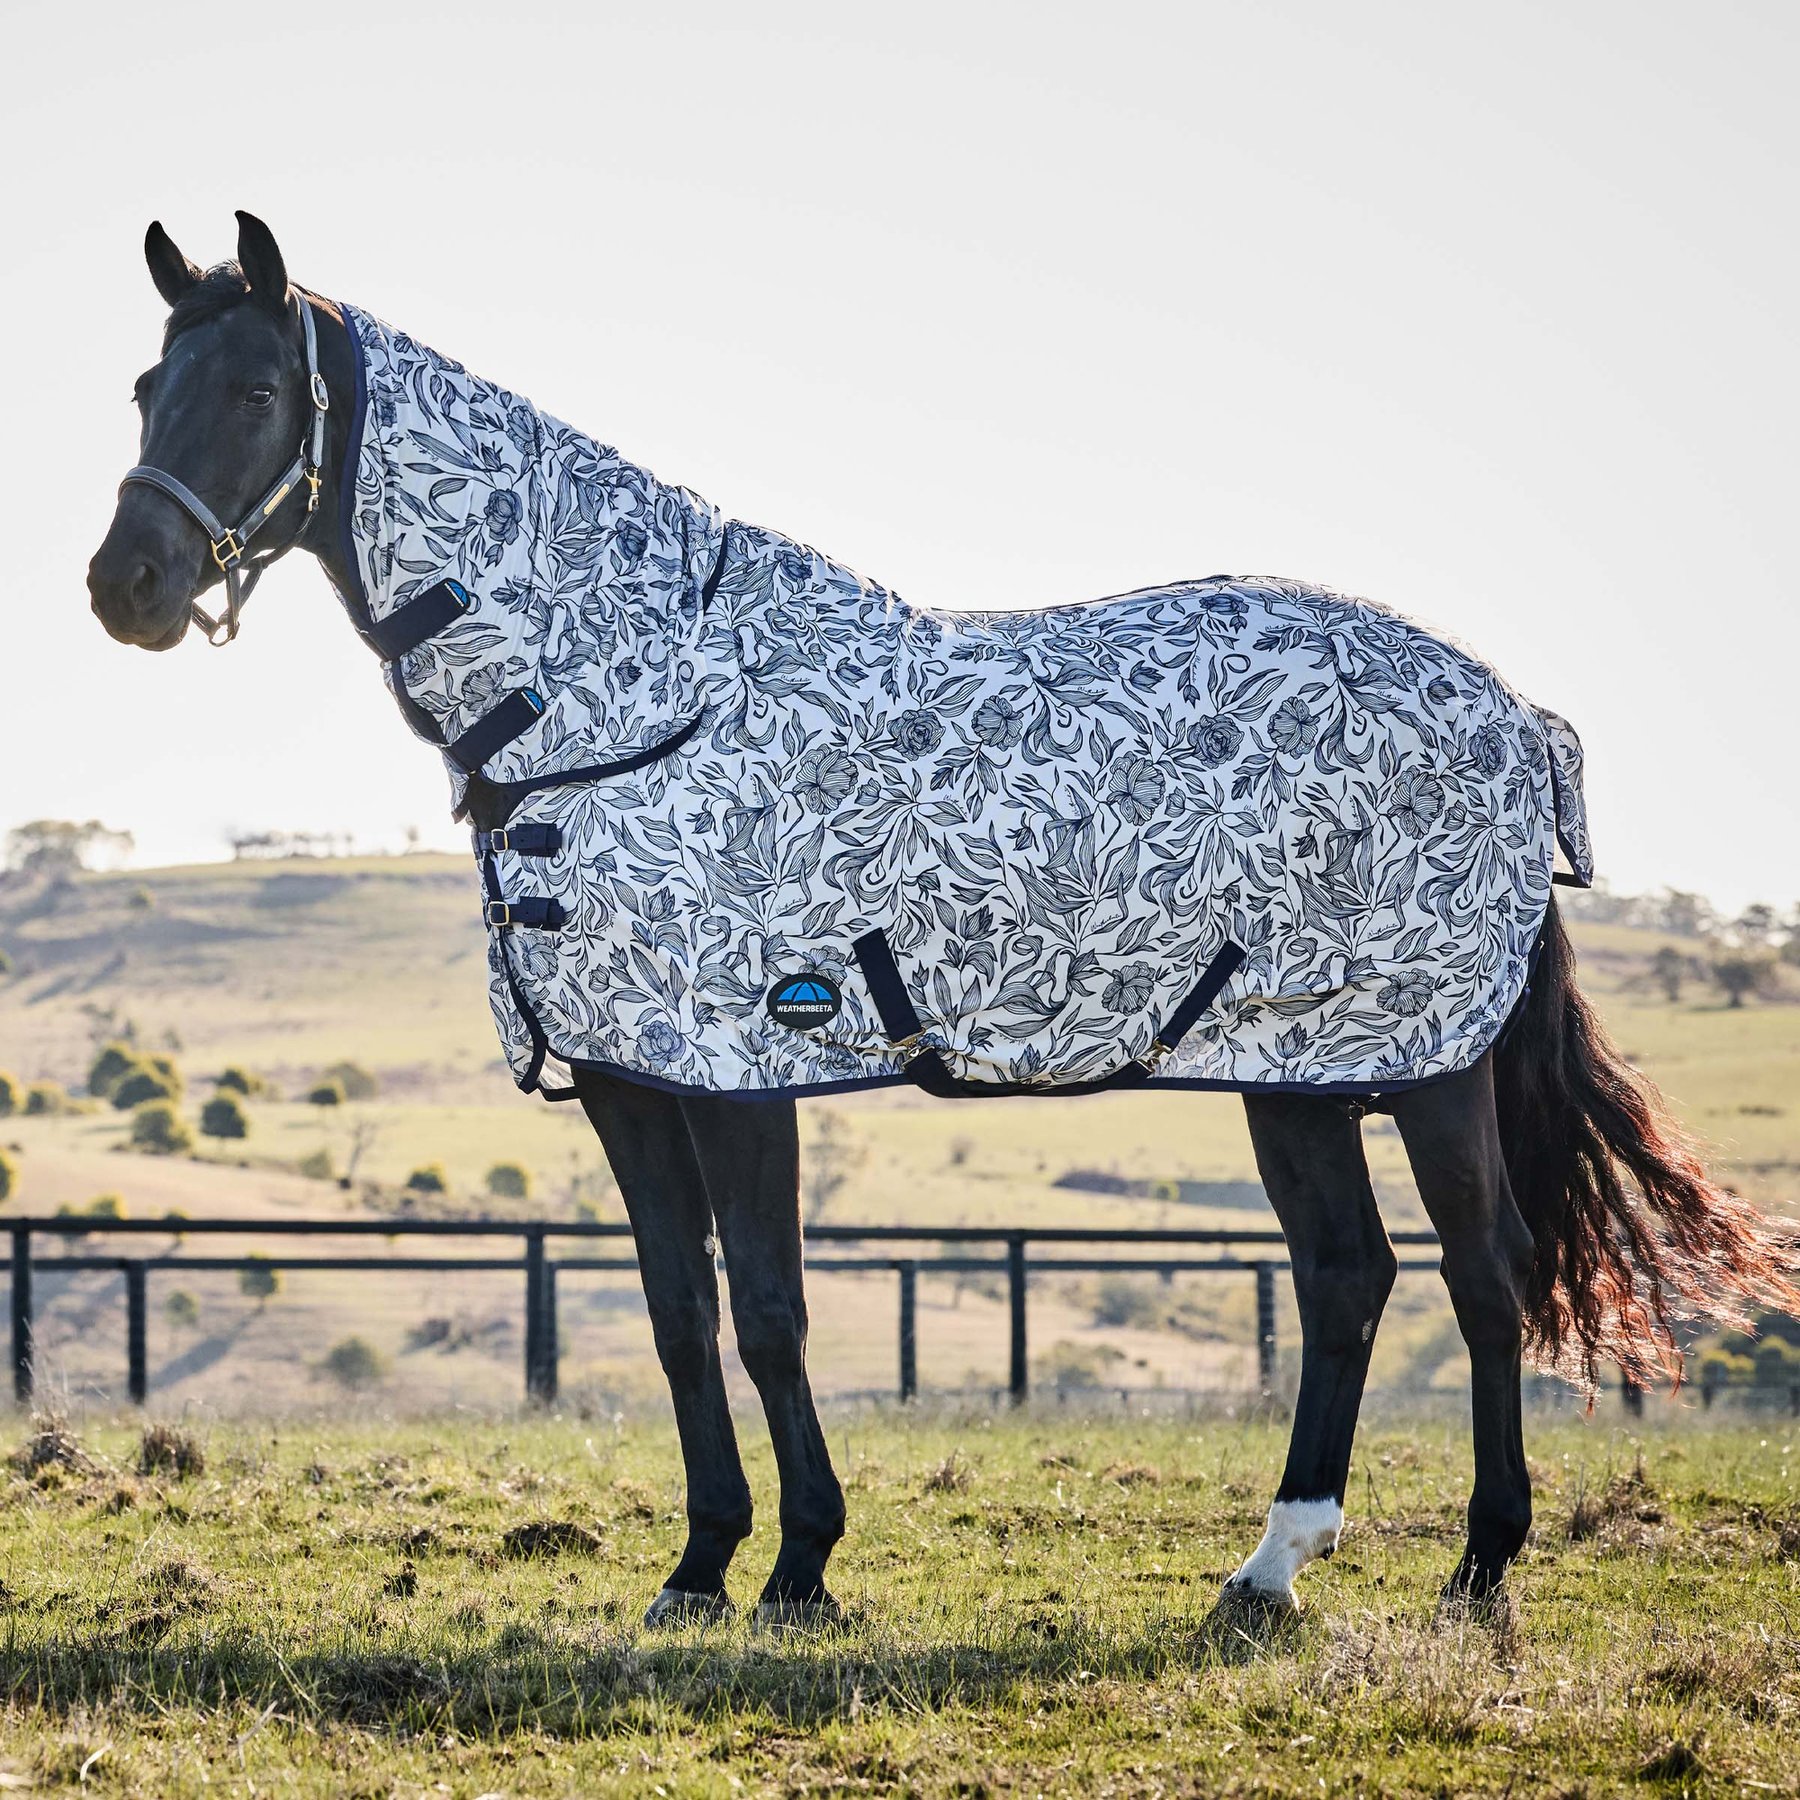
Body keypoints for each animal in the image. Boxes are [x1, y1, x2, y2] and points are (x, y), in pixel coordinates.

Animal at [86, 213, 1797, 1629]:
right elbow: (678, 1317)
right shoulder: (630, 1084)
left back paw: (1480, 1566)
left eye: (258, 393)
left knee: (1483, 1272)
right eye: (145, 386)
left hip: (1425, 1061)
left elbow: (771, 1314)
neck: (624, 696)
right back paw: (1268, 1571)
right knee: (1348, 1277)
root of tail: (1518, 715)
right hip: (1293, 1069)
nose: (128, 586)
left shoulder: (744, 1071)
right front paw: (698, 1570)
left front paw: (798, 1572)